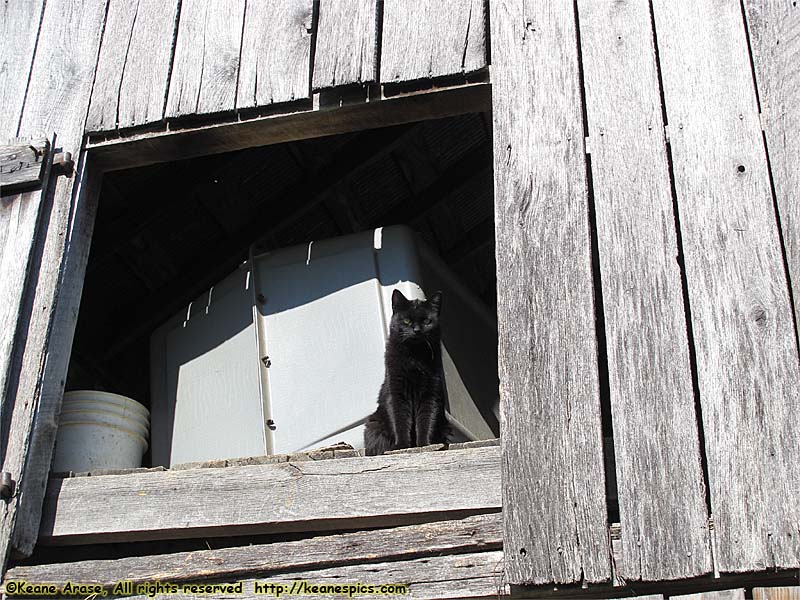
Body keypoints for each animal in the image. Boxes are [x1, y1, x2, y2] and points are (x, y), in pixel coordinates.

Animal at [364, 290, 450, 454]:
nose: (416, 330)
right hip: (374, 424)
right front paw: (402, 445)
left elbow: (426, 420)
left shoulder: (431, 394)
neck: (414, 358)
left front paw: (424, 444)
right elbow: (400, 421)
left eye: (426, 321)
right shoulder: (396, 393)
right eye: (407, 321)